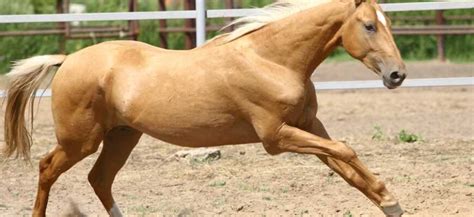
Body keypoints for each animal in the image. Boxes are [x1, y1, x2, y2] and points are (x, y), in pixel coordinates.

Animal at [1, 0, 406, 216]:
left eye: (387, 22)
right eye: (369, 26)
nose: (397, 74)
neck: (271, 60)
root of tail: (67, 59)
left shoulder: (308, 126)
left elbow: (344, 163)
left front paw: (388, 202)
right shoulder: (276, 137)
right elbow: (345, 151)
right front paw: (389, 197)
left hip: (122, 137)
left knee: (99, 179)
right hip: (80, 140)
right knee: (47, 168)